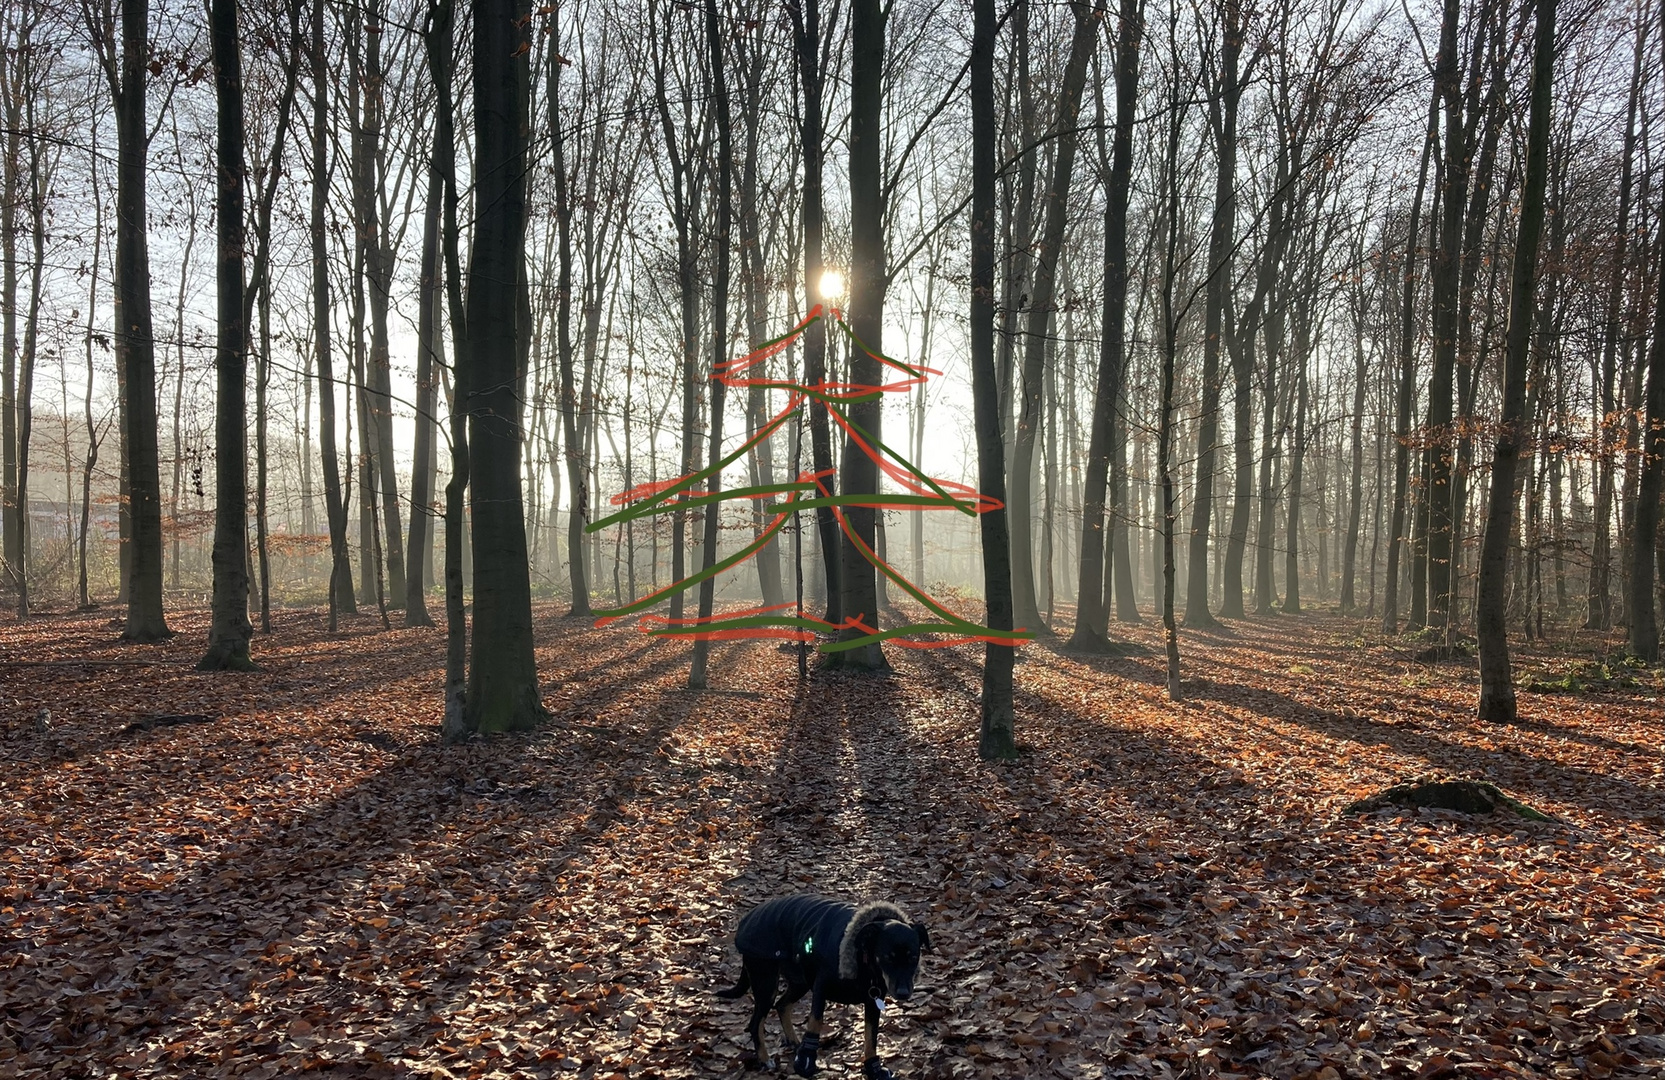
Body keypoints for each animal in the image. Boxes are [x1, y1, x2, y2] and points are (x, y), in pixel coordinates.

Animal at [712, 891, 932, 1078]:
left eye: (914, 957)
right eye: (887, 957)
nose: (903, 993)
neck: (864, 962)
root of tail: (747, 920)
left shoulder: (873, 1002)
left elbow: (871, 1038)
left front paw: (873, 1068)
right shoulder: (820, 988)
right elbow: (815, 1022)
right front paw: (806, 1062)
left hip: (799, 982)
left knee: (781, 1005)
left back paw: (794, 1042)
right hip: (766, 982)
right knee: (756, 1022)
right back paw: (765, 1059)